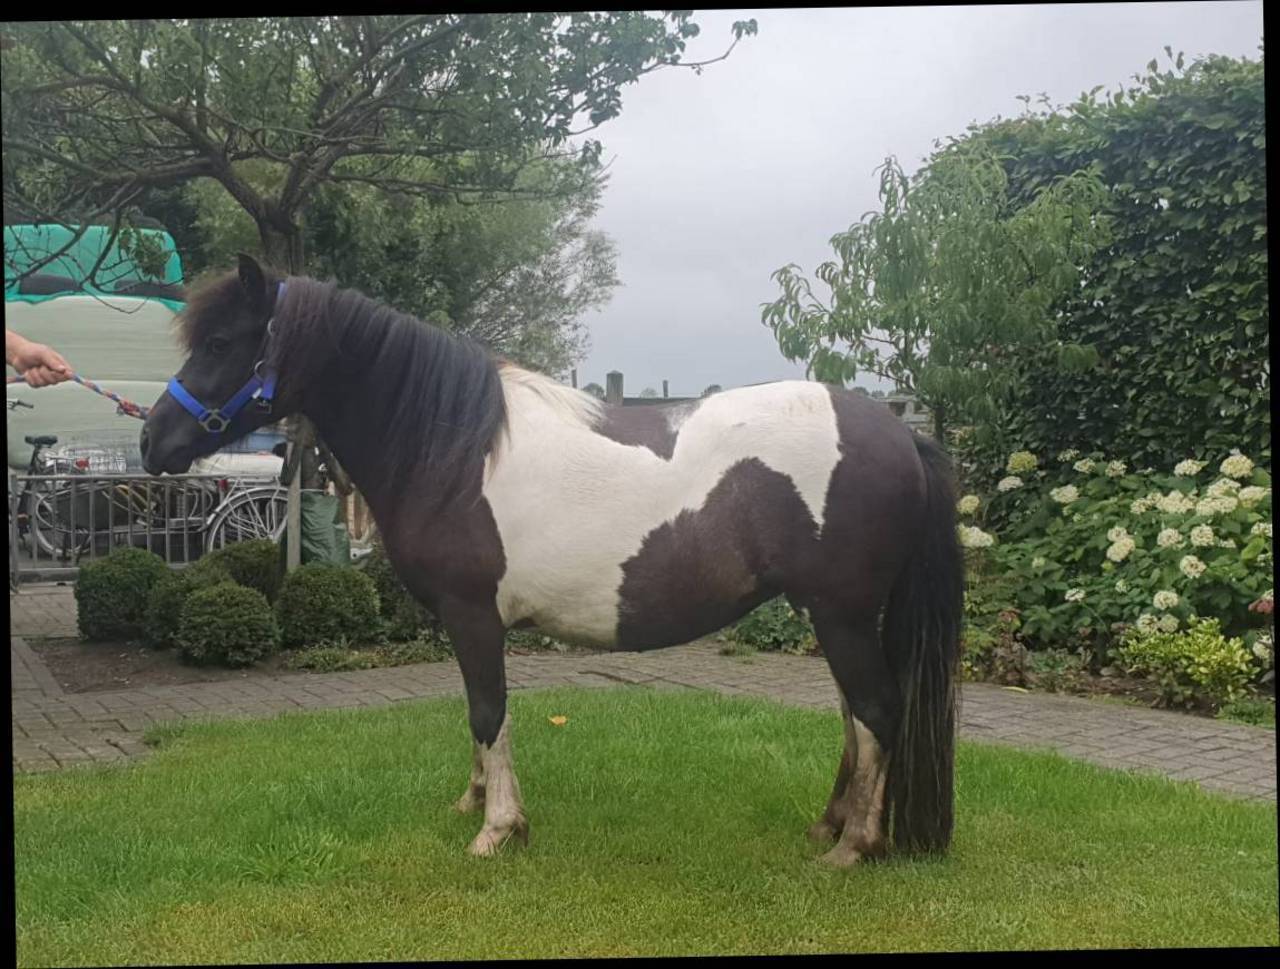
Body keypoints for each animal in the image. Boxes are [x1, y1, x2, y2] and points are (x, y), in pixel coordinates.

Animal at [140, 253, 962, 865]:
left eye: (221, 343)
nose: (154, 441)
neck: (453, 446)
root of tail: (899, 432)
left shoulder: (474, 615)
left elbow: (488, 710)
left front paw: (497, 829)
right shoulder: (462, 624)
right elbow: (475, 715)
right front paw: (473, 800)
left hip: (842, 614)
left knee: (878, 711)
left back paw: (856, 845)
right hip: (828, 614)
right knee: (855, 717)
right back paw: (832, 824)